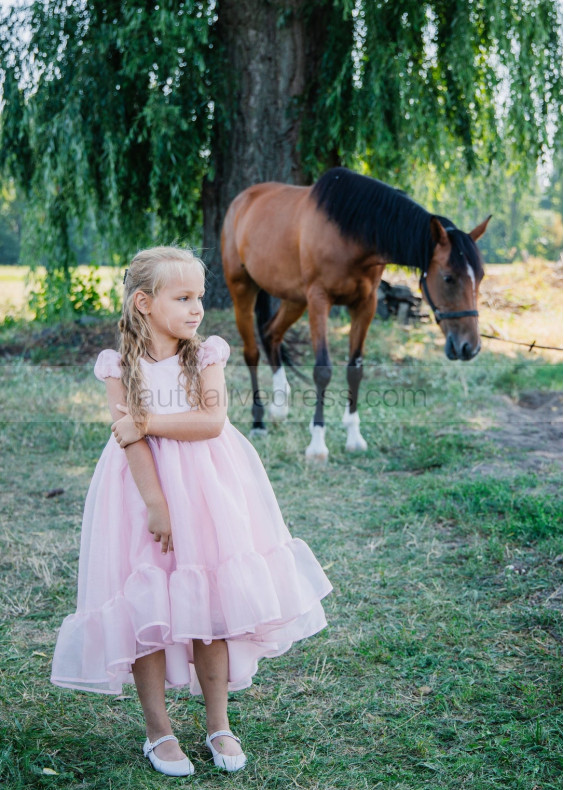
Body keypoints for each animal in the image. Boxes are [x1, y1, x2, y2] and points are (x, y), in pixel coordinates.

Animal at [220, 169, 490, 464]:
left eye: (480, 277)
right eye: (448, 278)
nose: (470, 347)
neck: (350, 234)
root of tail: (241, 201)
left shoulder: (365, 304)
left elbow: (355, 369)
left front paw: (354, 436)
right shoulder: (319, 300)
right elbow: (323, 370)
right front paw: (317, 444)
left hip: (294, 299)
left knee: (271, 334)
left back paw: (279, 407)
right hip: (243, 289)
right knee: (252, 353)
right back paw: (258, 422)